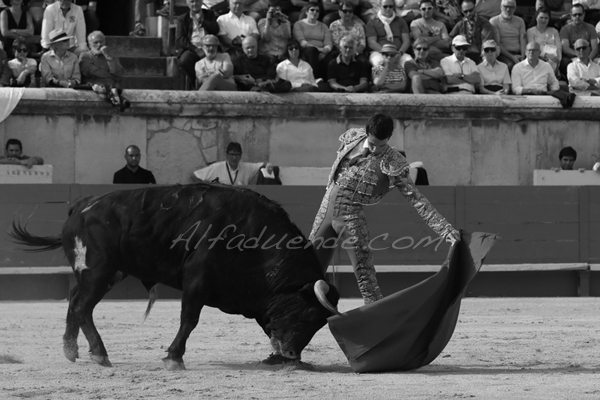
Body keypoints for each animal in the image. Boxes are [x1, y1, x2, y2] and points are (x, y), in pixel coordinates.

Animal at [9, 183, 340, 370]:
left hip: (104, 272)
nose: (292, 354)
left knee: (75, 299)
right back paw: (99, 354)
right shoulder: (196, 281)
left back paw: (71, 349)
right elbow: (189, 320)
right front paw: (174, 358)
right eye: (308, 315)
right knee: (82, 306)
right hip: (99, 270)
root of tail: (82, 205)